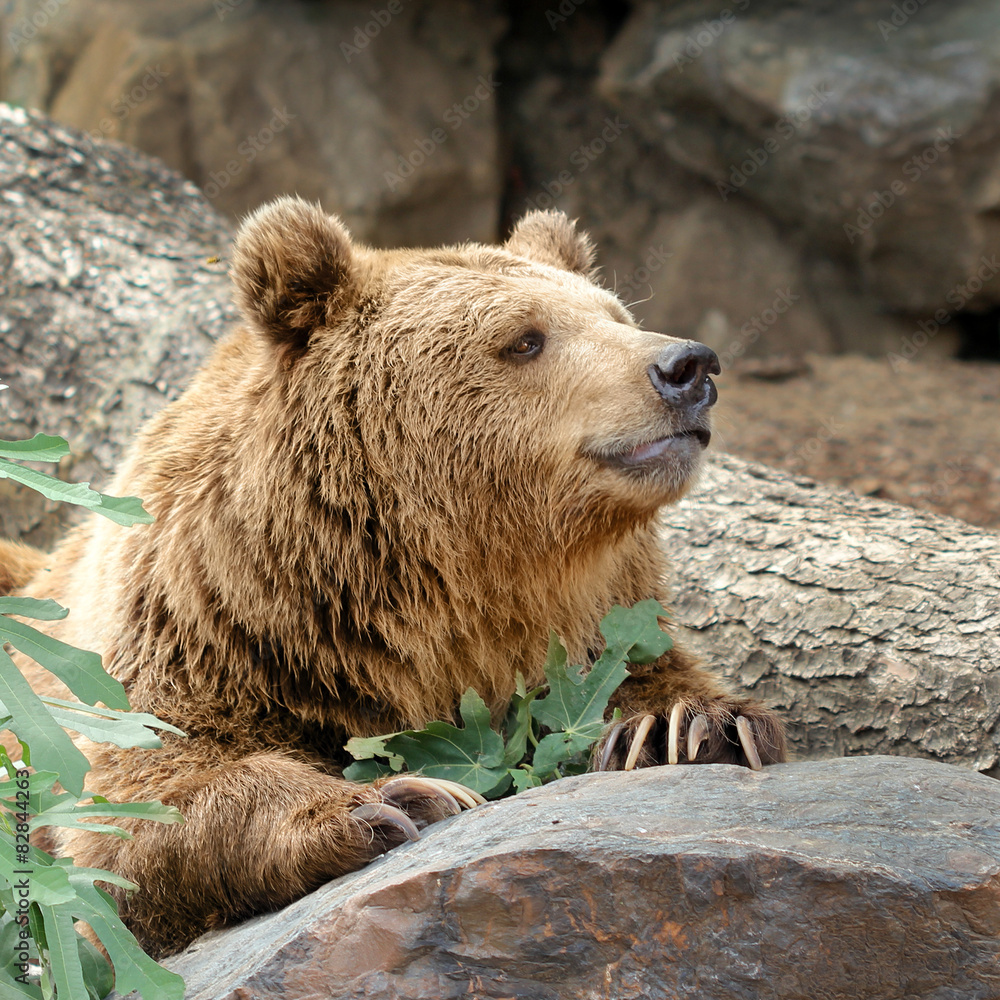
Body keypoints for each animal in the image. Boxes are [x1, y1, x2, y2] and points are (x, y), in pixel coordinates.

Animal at [1, 197, 786, 958]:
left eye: (615, 314)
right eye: (525, 339)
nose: (687, 366)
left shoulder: (601, 609)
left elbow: (648, 673)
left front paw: (684, 726)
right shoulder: (200, 624)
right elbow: (142, 799)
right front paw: (398, 798)